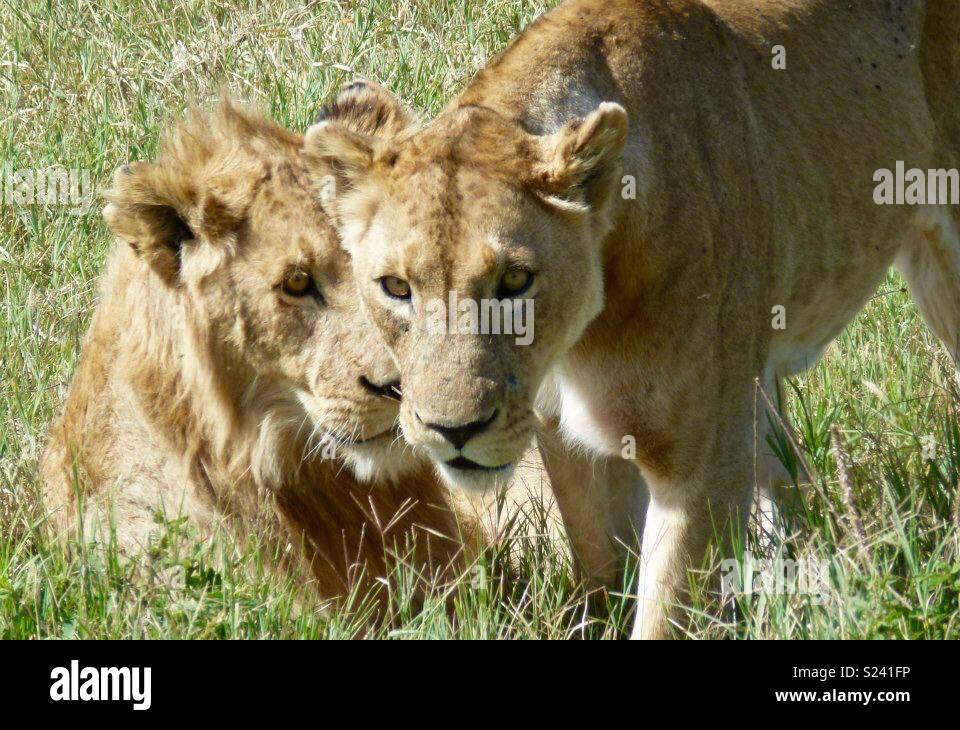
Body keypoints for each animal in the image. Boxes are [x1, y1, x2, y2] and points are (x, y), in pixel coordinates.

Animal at [306, 0, 960, 636]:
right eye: (396, 288)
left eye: (515, 281)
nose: (454, 431)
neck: (578, 336)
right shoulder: (568, 441)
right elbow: (603, 568)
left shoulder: (700, 464)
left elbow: (665, 612)